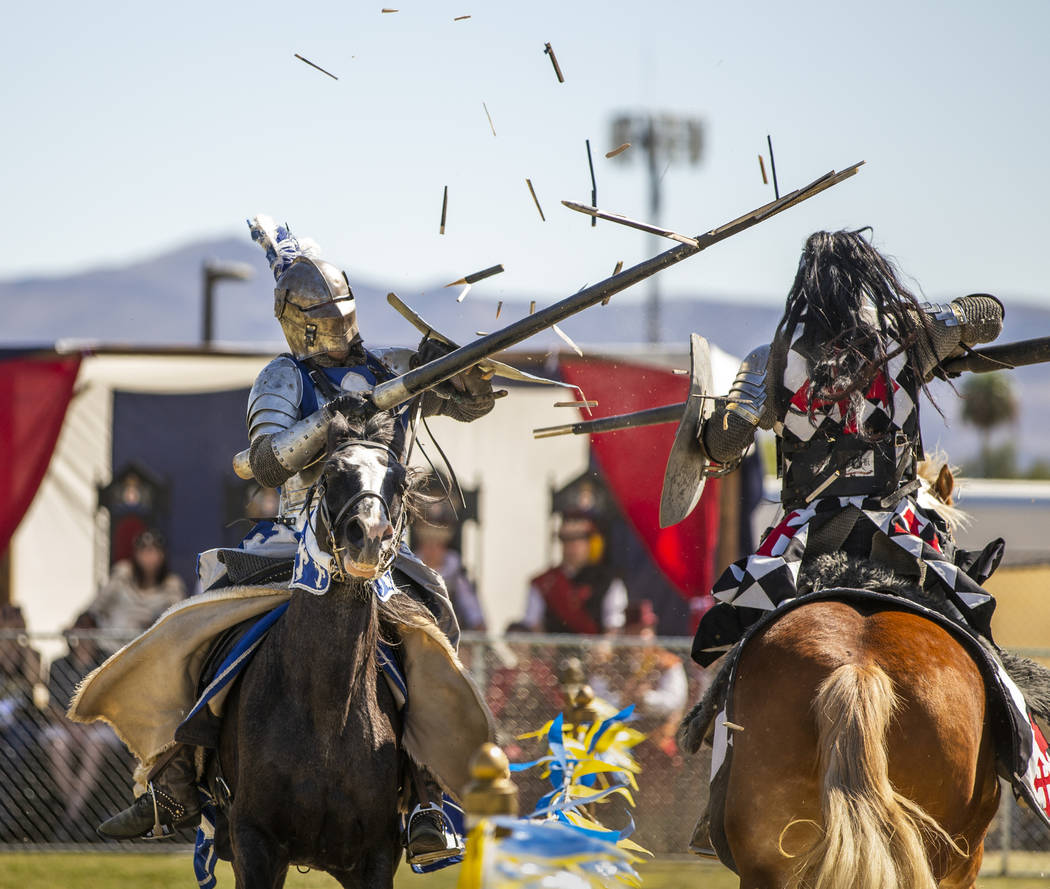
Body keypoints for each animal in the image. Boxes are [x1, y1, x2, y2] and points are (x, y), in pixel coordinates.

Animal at [215, 409, 428, 889]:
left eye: (401, 482)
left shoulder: (375, 854)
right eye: (330, 473)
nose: (369, 536)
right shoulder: (253, 844)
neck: (326, 709)